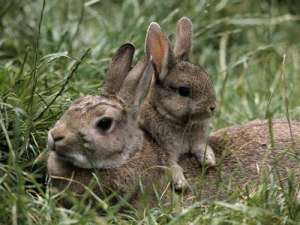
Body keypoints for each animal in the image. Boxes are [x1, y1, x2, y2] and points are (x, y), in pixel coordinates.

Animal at [139, 16, 218, 191]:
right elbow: (172, 165)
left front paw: (209, 160)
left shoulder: (198, 140)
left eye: (208, 79)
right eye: (183, 91)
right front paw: (181, 183)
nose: (212, 107)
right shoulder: (164, 149)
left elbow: (201, 147)